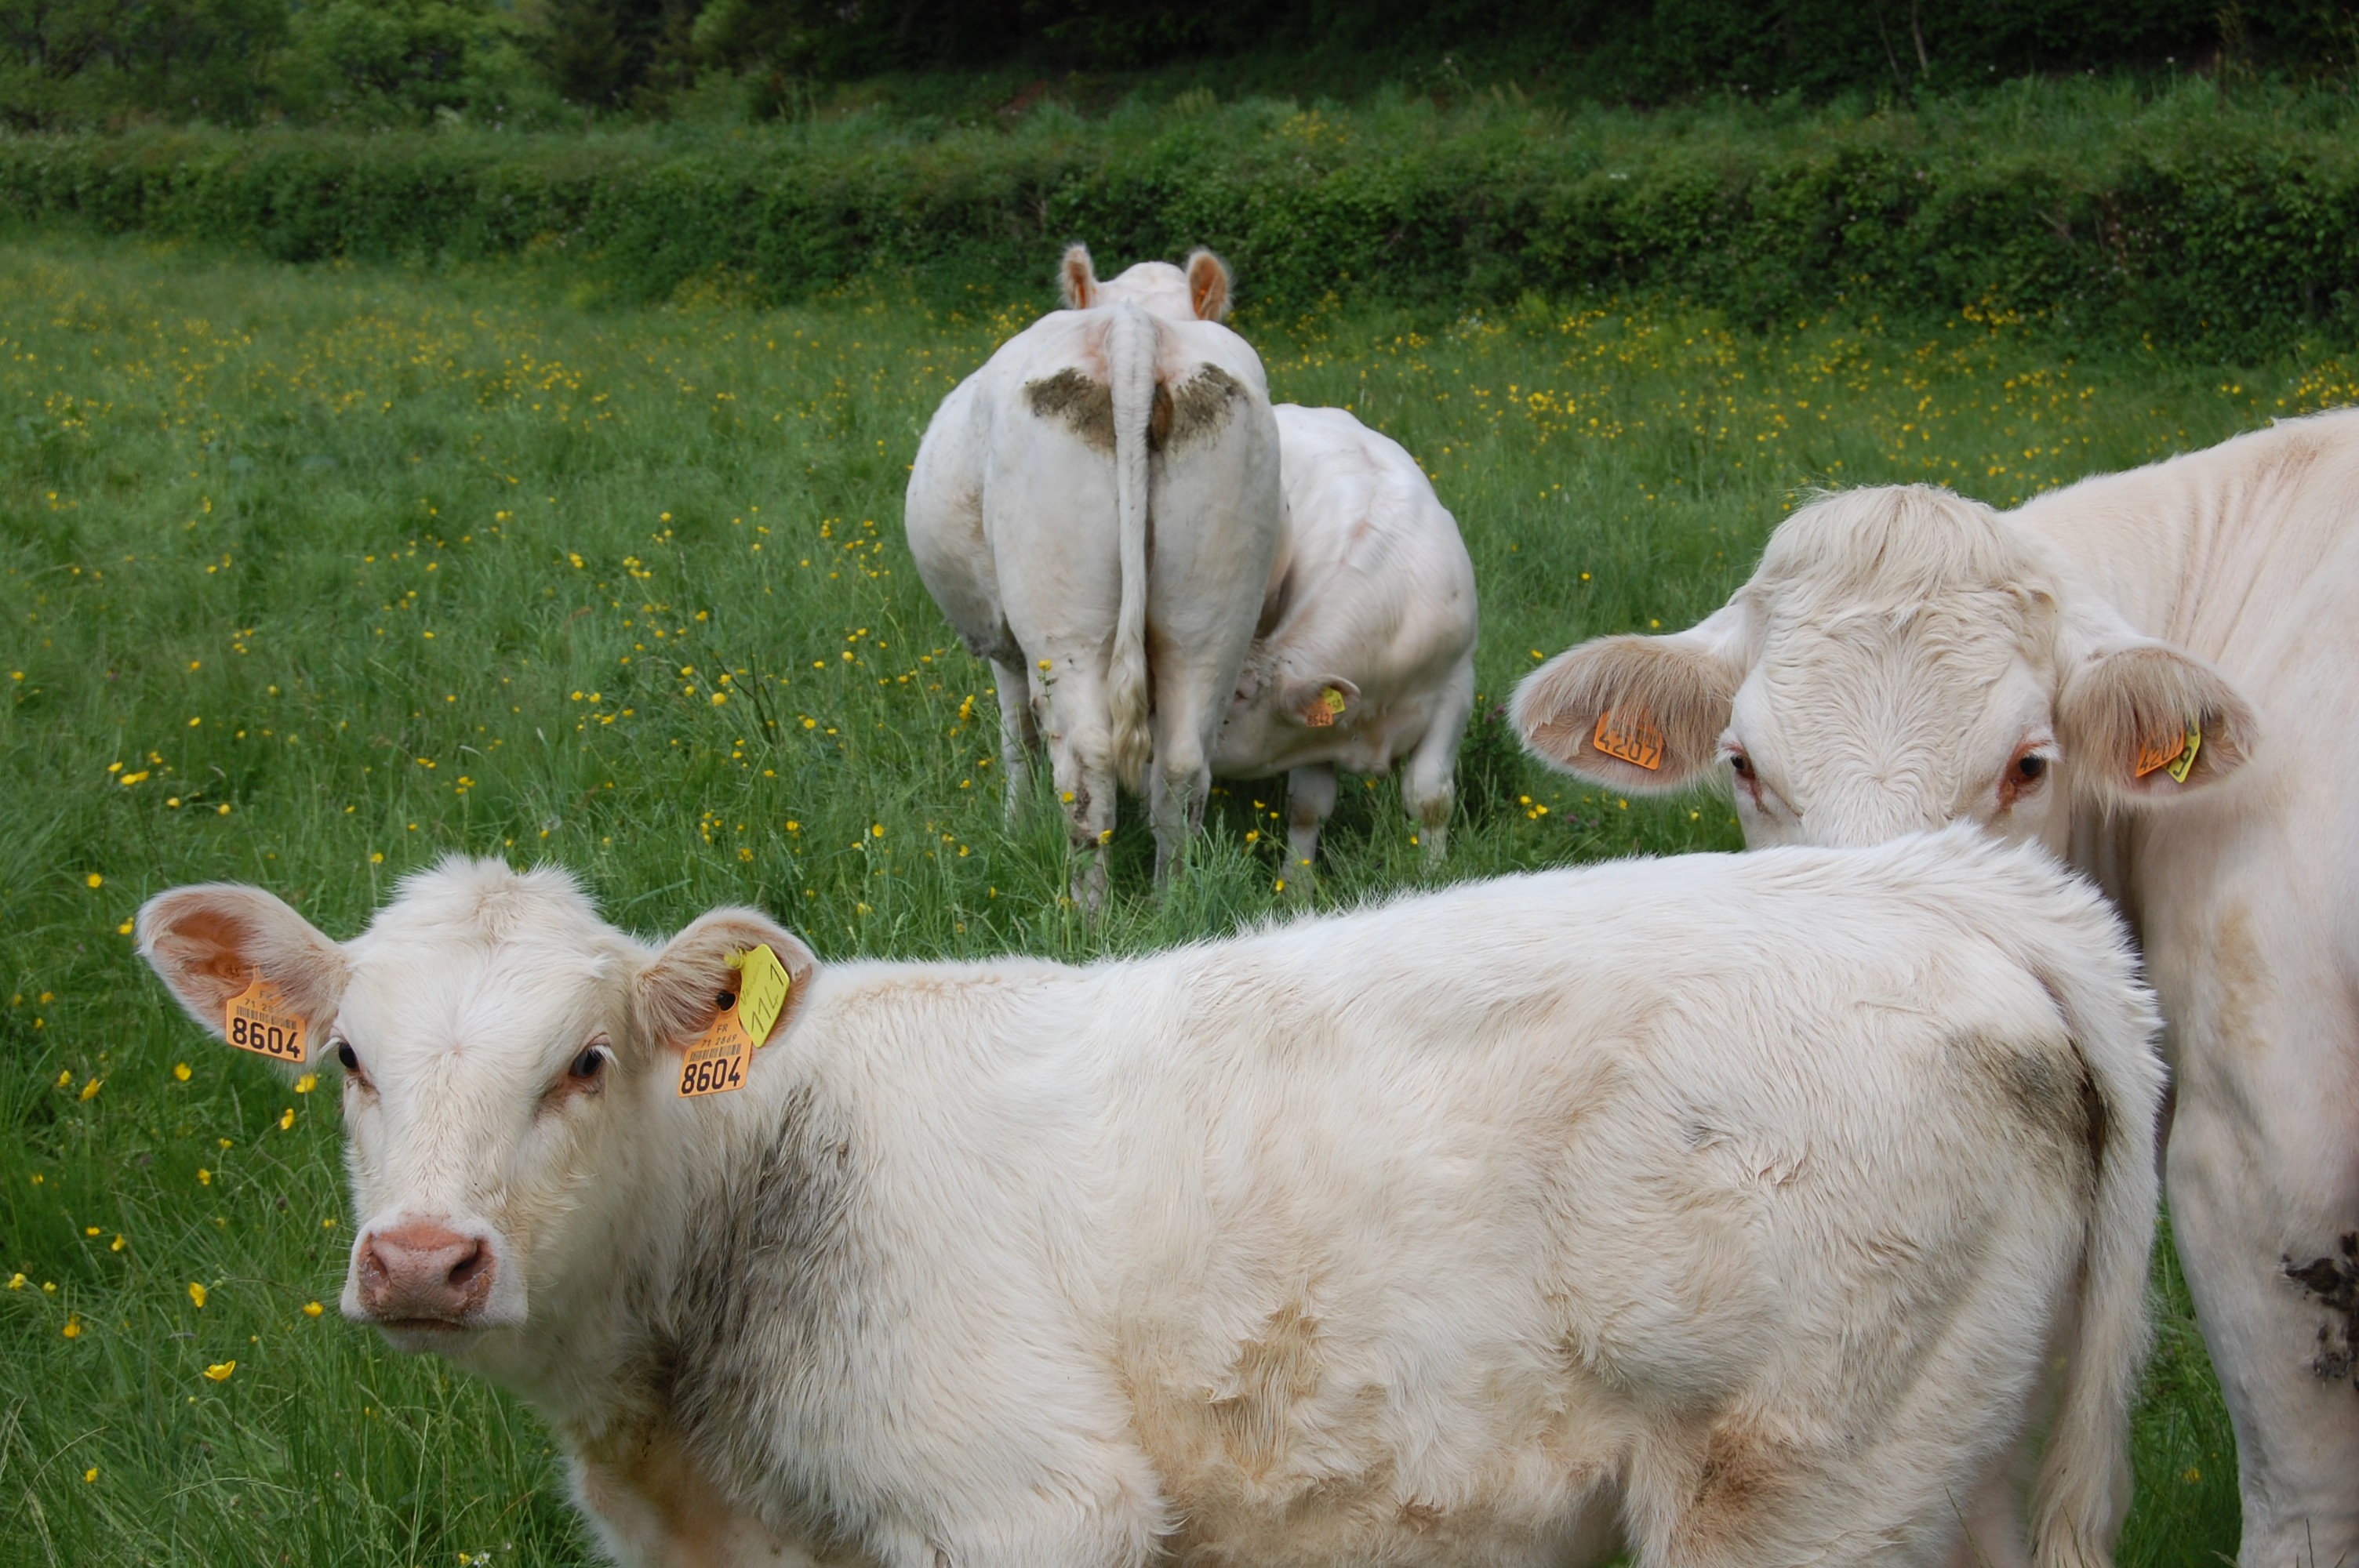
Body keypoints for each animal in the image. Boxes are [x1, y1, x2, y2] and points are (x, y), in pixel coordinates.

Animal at [129, 829, 2161, 1565]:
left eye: (586, 1058)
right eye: (349, 1059)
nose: (423, 1258)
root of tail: (1939, 888)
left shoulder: (1030, 1503)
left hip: (1790, 1479)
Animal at [906, 245, 1292, 905]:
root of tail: (1134, 327)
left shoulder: (1003, 642)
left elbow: (1017, 735)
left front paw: (1015, 824)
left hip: (1063, 623)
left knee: (1086, 763)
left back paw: (1088, 910)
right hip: (1211, 616)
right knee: (1182, 766)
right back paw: (1169, 903)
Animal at [1217, 403, 1471, 867]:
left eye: (1238, 696)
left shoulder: (1456, 690)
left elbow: (1430, 797)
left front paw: (1434, 869)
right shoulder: (1312, 729)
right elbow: (1307, 807)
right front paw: (1297, 880)